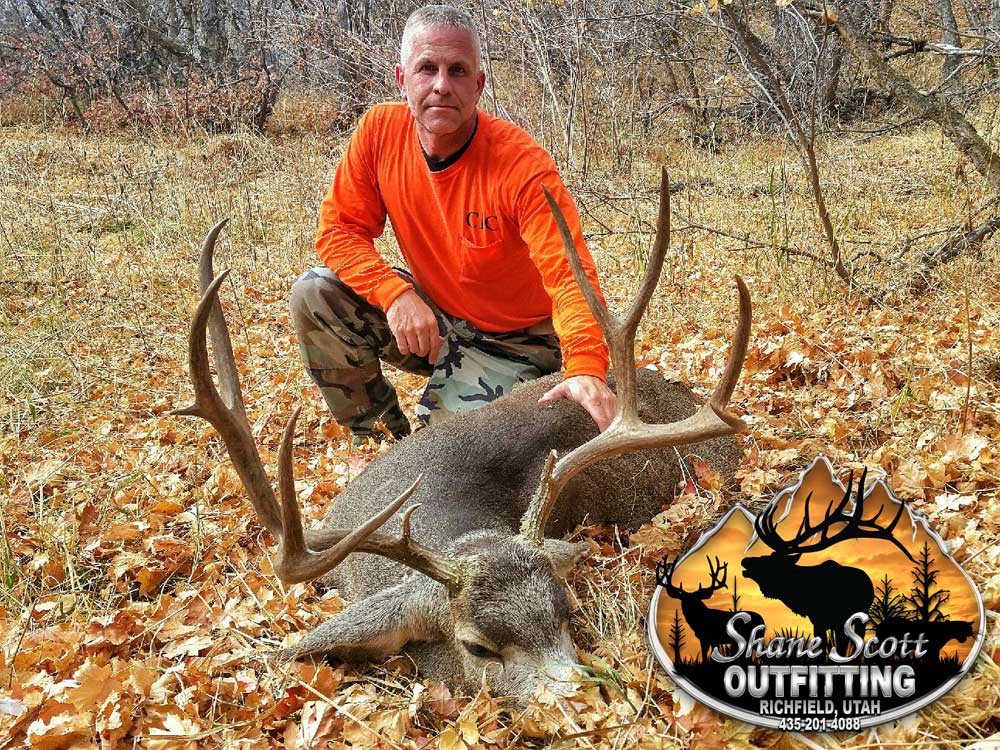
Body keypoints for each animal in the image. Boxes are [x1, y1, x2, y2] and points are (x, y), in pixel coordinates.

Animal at [741, 470, 916, 657]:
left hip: (861, 614)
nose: (745, 560)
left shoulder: (835, 620)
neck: (803, 596)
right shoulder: (819, 620)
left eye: (771, 561)